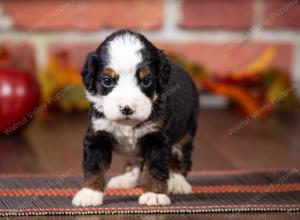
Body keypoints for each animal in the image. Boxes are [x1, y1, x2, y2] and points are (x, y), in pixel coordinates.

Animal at [72, 29, 199, 206]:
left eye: (146, 81)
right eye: (107, 80)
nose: (127, 109)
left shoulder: (157, 137)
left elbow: (154, 167)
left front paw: (154, 194)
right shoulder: (98, 135)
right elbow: (94, 166)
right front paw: (89, 193)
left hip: (185, 132)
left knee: (180, 157)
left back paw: (178, 182)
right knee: (135, 163)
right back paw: (125, 180)